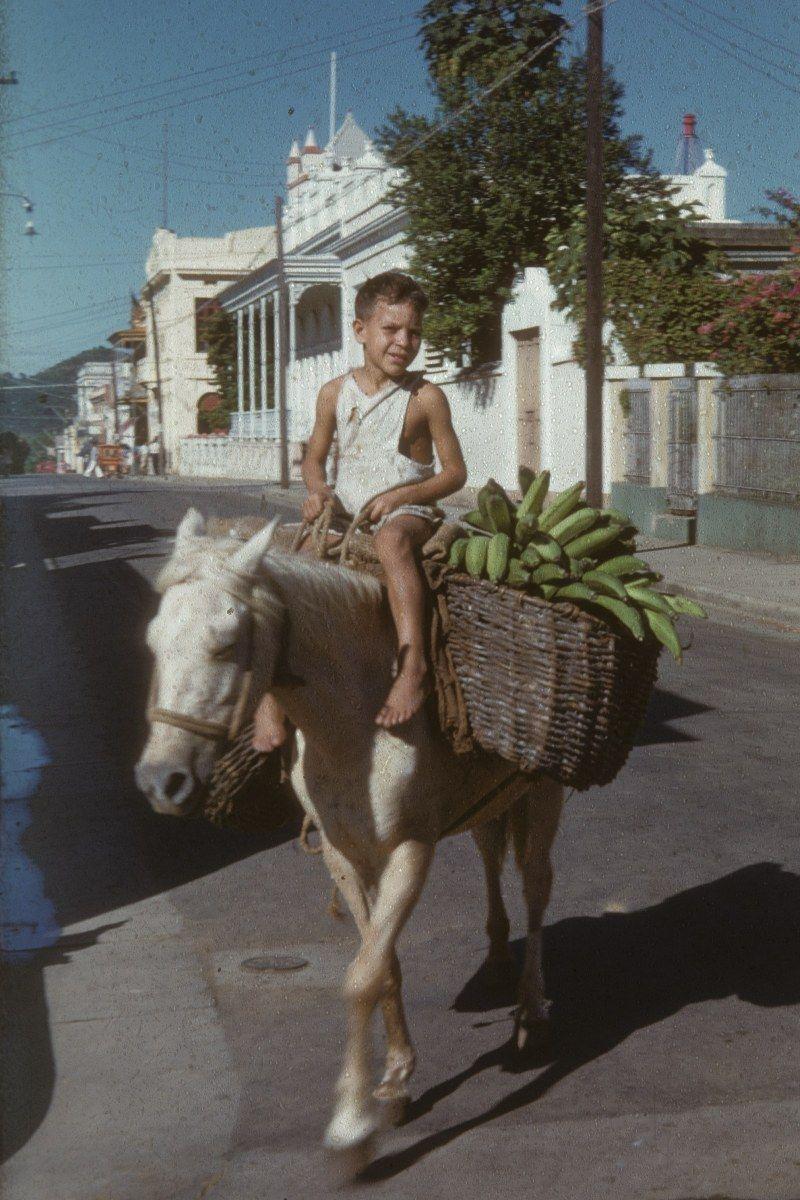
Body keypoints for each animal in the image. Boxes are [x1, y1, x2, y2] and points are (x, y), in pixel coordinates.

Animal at [137, 508, 563, 1171]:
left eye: (225, 644)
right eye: (153, 642)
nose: (163, 780)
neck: (357, 720)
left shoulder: (410, 852)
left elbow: (363, 975)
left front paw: (353, 1127)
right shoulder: (342, 853)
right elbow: (381, 965)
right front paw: (394, 1083)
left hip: (543, 794)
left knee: (536, 889)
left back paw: (530, 1015)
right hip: (489, 801)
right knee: (492, 860)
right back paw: (496, 964)